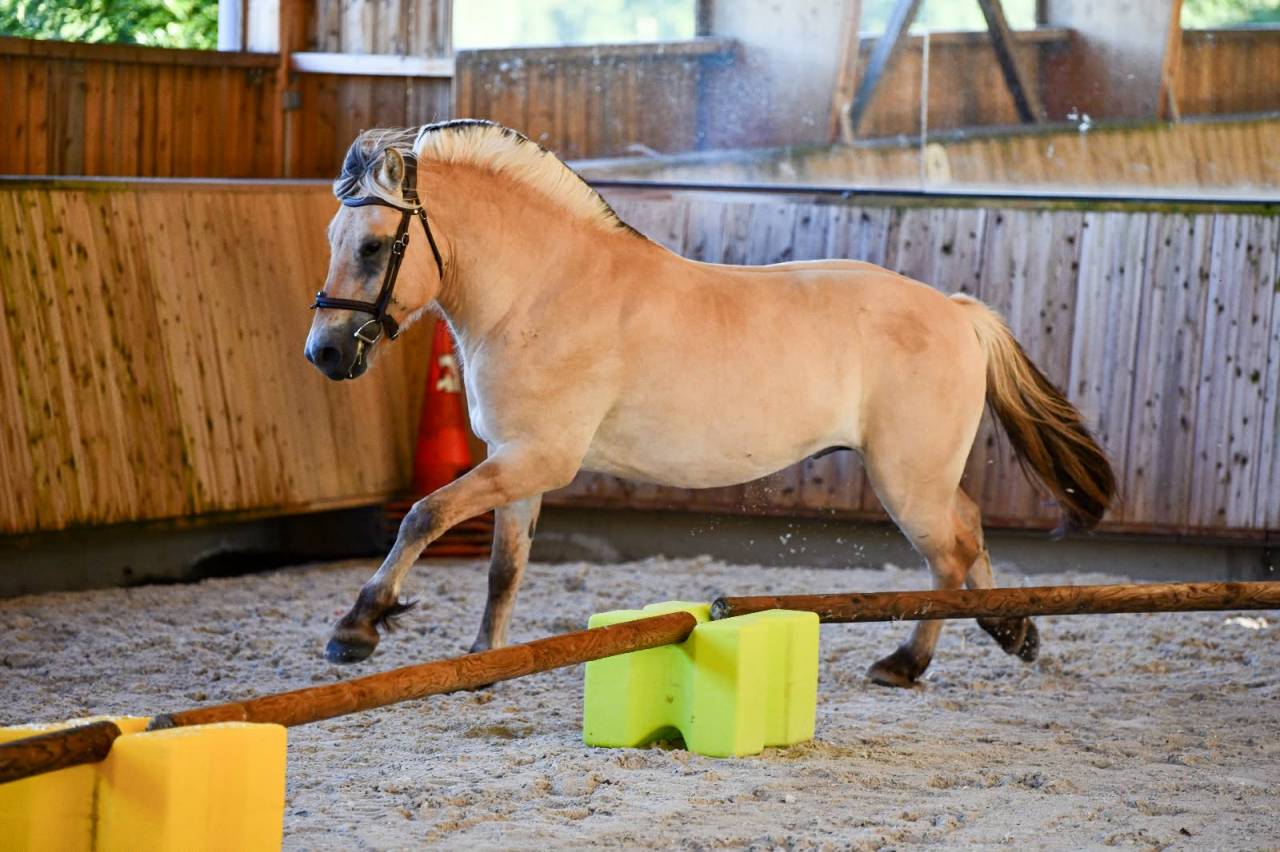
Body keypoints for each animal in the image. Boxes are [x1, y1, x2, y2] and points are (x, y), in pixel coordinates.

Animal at [305, 120, 1115, 688]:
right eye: (331, 236)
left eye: (373, 247)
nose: (326, 353)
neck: (540, 290)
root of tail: (957, 311)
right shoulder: (517, 462)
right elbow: (505, 568)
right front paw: (483, 660)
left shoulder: (539, 458)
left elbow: (423, 514)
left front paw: (357, 628)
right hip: (926, 477)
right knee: (970, 532)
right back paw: (1014, 633)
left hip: (906, 478)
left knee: (949, 555)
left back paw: (906, 663)